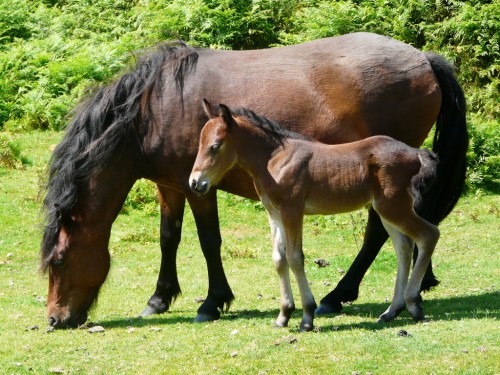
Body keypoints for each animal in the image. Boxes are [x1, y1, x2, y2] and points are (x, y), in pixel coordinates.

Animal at [189, 100, 440, 332]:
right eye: (199, 144)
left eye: (215, 146)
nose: (195, 183)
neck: (274, 159)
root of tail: (416, 153)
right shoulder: (274, 213)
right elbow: (278, 259)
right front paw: (283, 316)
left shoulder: (292, 209)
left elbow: (294, 257)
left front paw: (307, 317)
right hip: (386, 210)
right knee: (404, 247)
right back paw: (391, 311)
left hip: (393, 206)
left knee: (429, 235)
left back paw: (413, 304)